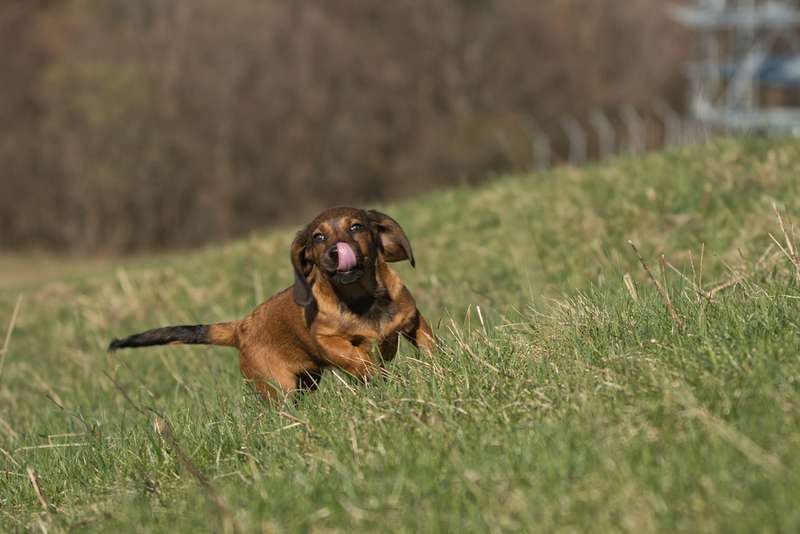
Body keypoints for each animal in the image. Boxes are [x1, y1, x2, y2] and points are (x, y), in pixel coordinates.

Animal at [109, 208, 434, 402]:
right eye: (318, 236)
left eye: (355, 227)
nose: (334, 252)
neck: (361, 302)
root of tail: (241, 327)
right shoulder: (327, 340)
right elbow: (356, 357)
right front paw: (375, 373)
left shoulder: (412, 319)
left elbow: (428, 345)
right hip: (280, 387)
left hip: (305, 381)